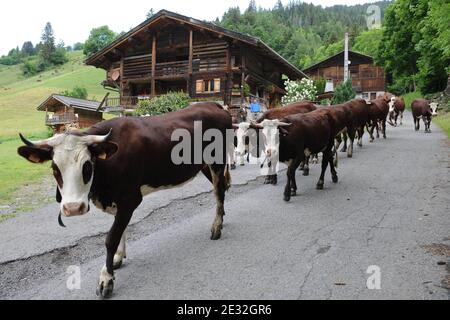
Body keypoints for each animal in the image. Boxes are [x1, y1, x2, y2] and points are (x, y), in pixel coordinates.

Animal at [17, 103, 232, 300]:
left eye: (87, 166)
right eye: (55, 168)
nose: (73, 208)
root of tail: (213, 105)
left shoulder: (130, 198)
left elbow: (111, 237)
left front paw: (106, 279)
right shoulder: (117, 200)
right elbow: (120, 231)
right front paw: (118, 258)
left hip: (217, 161)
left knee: (219, 192)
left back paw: (216, 226)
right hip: (203, 165)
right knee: (220, 190)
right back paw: (221, 218)